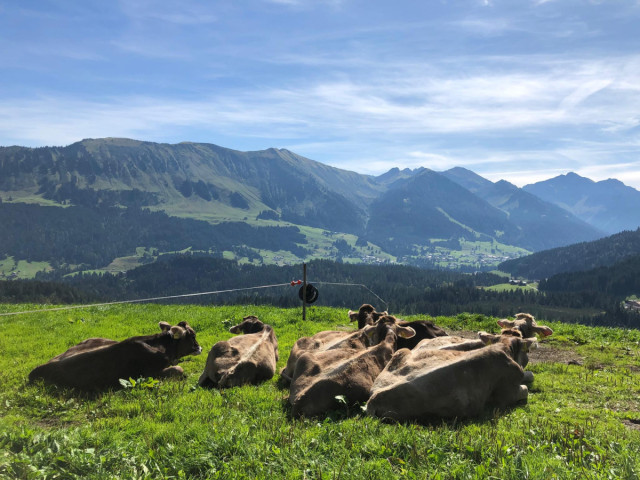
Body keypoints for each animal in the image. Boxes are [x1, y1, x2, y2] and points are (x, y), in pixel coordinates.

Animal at [366, 330, 537, 422]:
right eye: (527, 351)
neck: (504, 348)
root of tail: (374, 398)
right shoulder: (508, 393)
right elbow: (527, 386)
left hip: (402, 352)